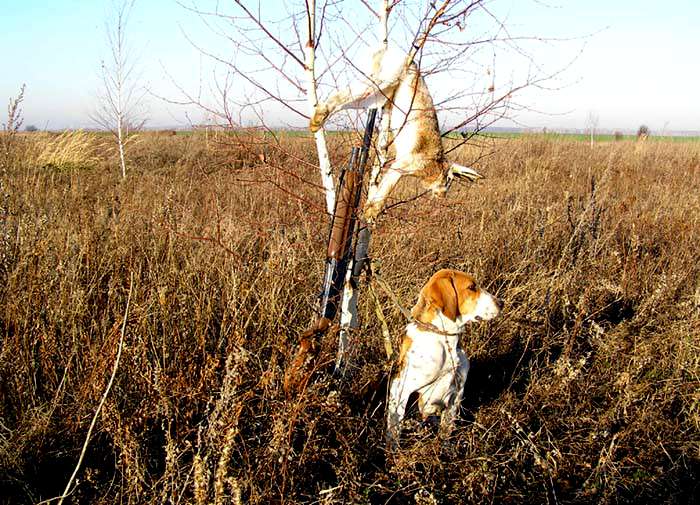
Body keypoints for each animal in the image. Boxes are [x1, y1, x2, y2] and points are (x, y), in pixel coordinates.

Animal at [308, 46, 484, 219]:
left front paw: (369, 210)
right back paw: (317, 120)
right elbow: (388, 186)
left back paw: (316, 122)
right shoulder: (403, 164)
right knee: (343, 97)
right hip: (384, 81)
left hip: (380, 94)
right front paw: (371, 212)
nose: (442, 196)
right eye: (447, 179)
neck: (436, 163)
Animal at [386, 270, 500, 446]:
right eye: (471, 287)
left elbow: (446, 434)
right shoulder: (400, 388)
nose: (501, 303)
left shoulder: (456, 395)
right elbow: (394, 430)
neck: (445, 338)